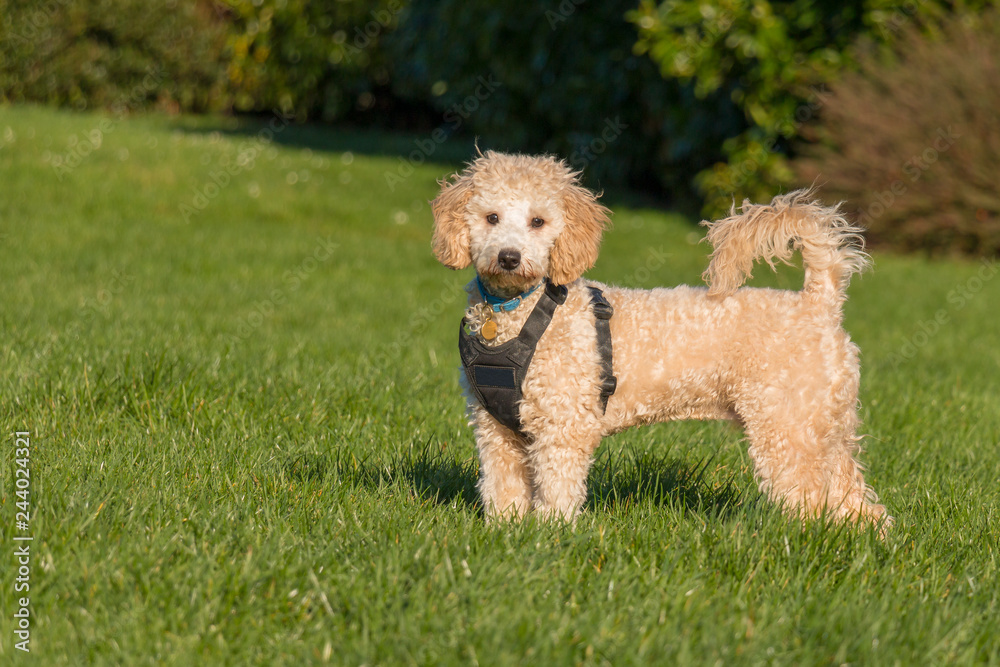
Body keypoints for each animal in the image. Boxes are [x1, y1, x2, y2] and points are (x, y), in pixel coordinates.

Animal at [430, 151, 892, 532]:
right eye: (491, 217)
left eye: (538, 222)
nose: (509, 257)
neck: (518, 313)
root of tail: (819, 301)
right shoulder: (495, 429)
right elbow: (503, 490)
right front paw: (505, 533)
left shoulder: (563, 426)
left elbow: (557, 489)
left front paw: (549, 535)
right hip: (824, 427)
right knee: (856, 501)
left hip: (787, 428)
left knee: (811, 499)